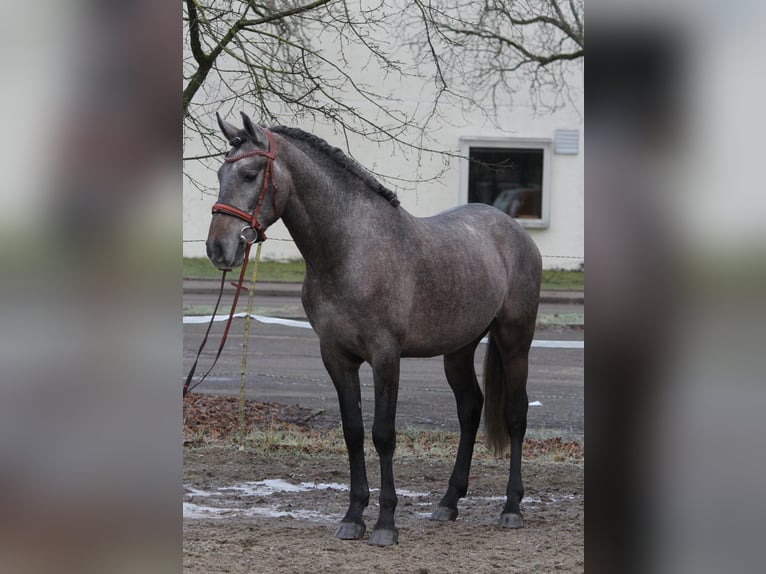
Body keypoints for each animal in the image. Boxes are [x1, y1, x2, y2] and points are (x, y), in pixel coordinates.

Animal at [204, 112, 540, 548]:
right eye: (219, 173)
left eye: (248, 174)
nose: (218, 249)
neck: (350, 250)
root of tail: (514, 230)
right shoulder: (336, 356)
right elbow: (353, 431)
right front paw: (353, 517)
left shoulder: (385, 356)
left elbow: (383, 434)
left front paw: (385, 524)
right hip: (459, 348)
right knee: (470, 408)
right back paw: (448, 503)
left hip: (515, 340)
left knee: (515, 414)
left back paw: (511, 508)